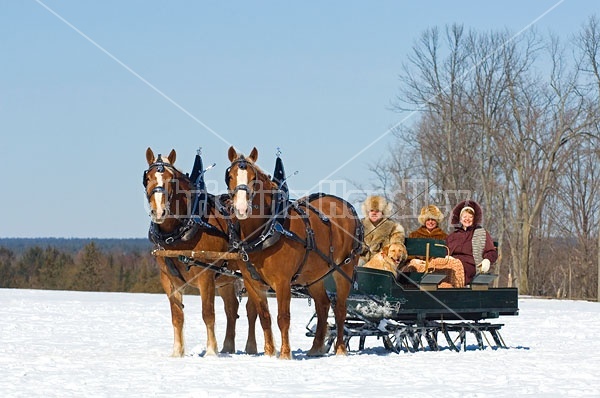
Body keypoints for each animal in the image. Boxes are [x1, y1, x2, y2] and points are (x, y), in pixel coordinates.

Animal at [146, 147, 258, 358]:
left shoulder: (205, 275)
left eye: (171, 180)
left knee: (252, 308)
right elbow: (177, 316)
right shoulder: (168, 279)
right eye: (147, 178)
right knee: (232, 309)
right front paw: (177, 353)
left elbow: (208, 313)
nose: (159, 212)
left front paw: (211, 352)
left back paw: (251, 347)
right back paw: (228, 347)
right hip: (226, 279)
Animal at [225, 148, 364, 360]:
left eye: (253, 178)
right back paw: (316, 348)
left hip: (345, 269)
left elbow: (283, 317)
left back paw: (340, 349)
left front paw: (284, 354)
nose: (241, 209)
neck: (266, 230)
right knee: (323, 306)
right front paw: (269, 353)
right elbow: (264, 317)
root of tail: (346, 205)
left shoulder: (282, 282)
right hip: (314, 276)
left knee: (340, 309)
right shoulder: (252, 282)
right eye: (230, 176)